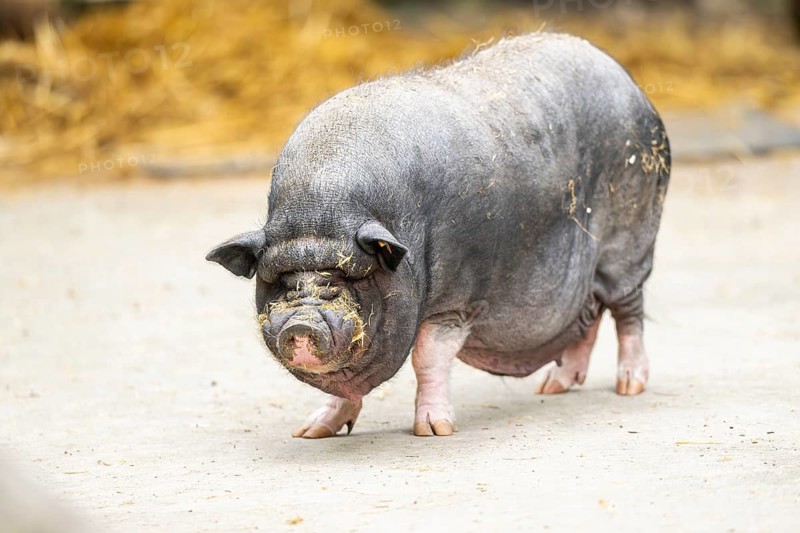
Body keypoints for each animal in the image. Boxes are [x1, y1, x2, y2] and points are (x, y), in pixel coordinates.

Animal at [206, 32, 670, 438]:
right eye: (282, 282)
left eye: (342, 280)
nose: (301, 325)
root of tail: (630, 83)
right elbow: (345, 388)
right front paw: (310, 432)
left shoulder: (456, 297)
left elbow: (428, 358)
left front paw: (434, 430)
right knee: (590, 313)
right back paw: (554, 387)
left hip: (628, 244)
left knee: (627, 309)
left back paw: (630, 385)